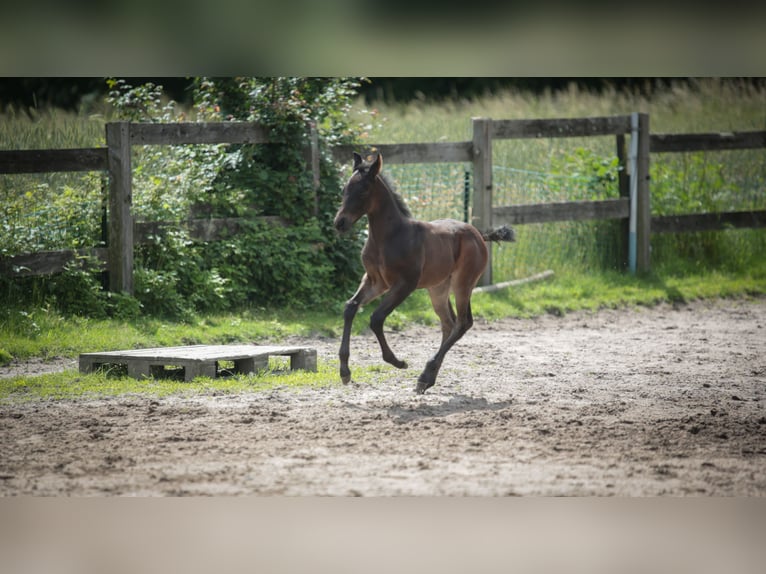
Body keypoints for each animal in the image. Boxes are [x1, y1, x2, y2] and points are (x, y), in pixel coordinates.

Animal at [333, 152, 515, 394]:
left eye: (363, 190)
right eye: (345, 188)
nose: (339, 223)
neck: (388, 237)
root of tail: (478, 234)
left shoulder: (405, 284)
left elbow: (376, 318)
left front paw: (398, 362)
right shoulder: (375, 281)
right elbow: (350, 307)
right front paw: (345, 371)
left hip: (463, 284)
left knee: (463, 322)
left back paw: (425, 375)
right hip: (438, 288)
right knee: (449, 323)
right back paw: (428, 379)